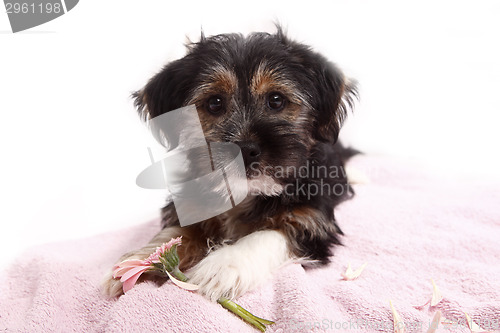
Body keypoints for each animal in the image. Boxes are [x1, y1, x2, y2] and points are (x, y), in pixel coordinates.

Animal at [103, 27, 358, 300]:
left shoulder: (311, 223)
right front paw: (139, 261)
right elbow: (174, 234)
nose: (245, 149)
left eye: (276, 100)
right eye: (214, 103)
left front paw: (223, 265)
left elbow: (267, 235)